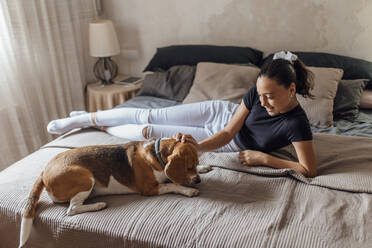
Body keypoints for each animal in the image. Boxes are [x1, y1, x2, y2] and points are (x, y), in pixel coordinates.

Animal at [19, 139, 206, 247]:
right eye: (188, 167)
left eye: (195, 163)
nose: (197, 180)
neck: (156, 153)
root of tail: (44, 171)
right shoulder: (150, 188)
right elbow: (172, 184)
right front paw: (188, 189)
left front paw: (204, 168)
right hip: (86, 178)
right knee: (72, 210)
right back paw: (98, 205)